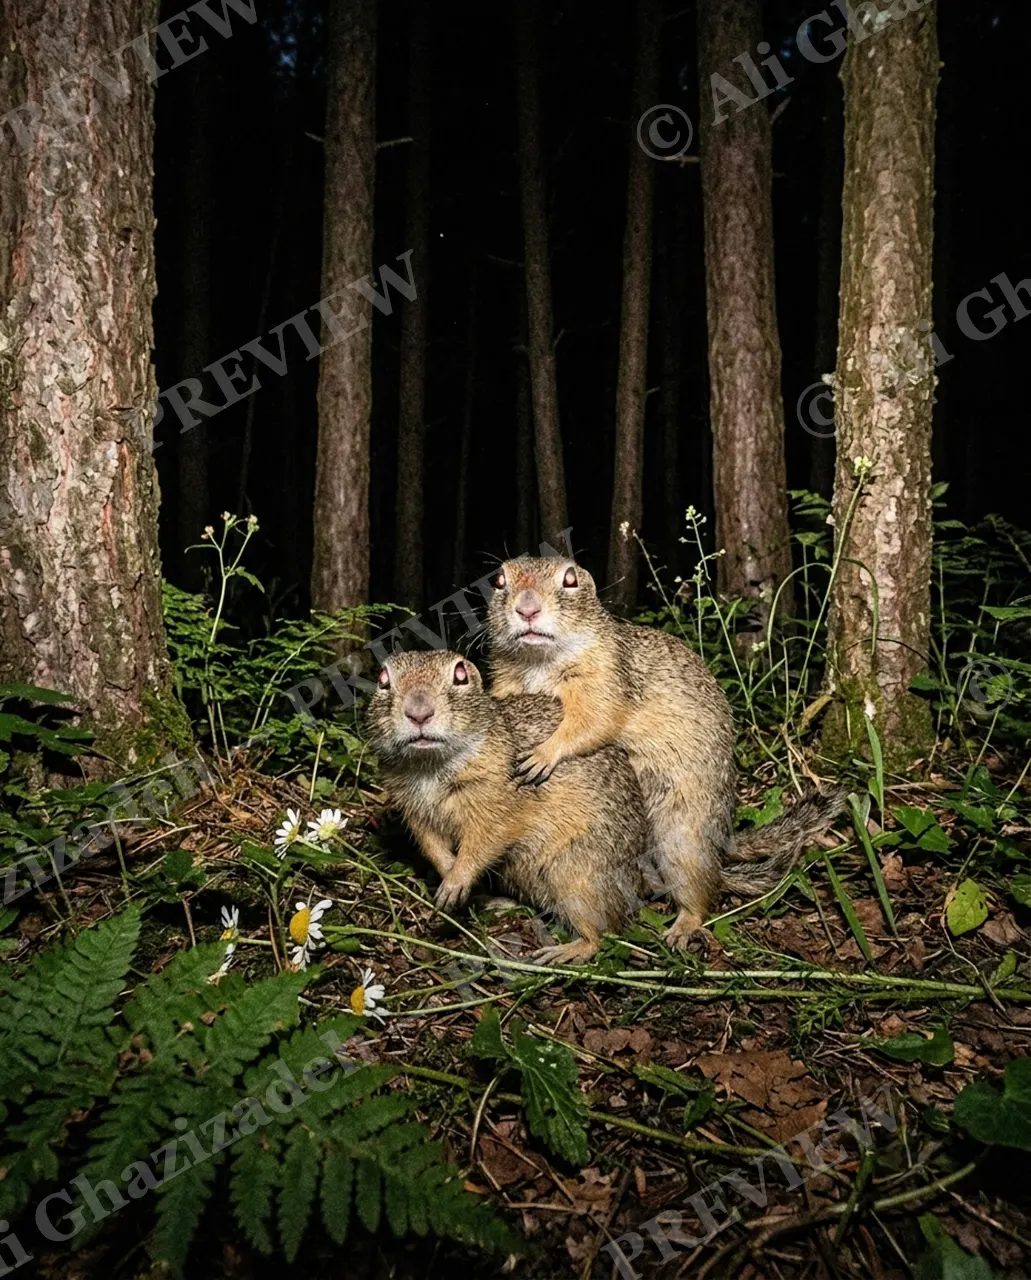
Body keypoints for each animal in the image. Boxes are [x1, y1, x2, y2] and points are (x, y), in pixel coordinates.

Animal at [363, 649, 647, 964]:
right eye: (383, 679)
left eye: (460, 675)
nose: (419, 713)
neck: (430, 767)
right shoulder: (416, 813)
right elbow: (433, 847)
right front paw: (449, 876)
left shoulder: (495, 807)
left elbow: (482, 844)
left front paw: (454, 883)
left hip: (574, 878)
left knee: (602, 933)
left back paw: (562, 952)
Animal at [486, 556, 846, 949]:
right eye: (499, 580)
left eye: (570, 579)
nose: (527, 609)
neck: (538, 661)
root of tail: (722, 840)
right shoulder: (506, 682)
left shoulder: (605, 677)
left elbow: (594, 721)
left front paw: (544, 753)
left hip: (681, 839)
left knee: (701, 891)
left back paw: (684, 924)